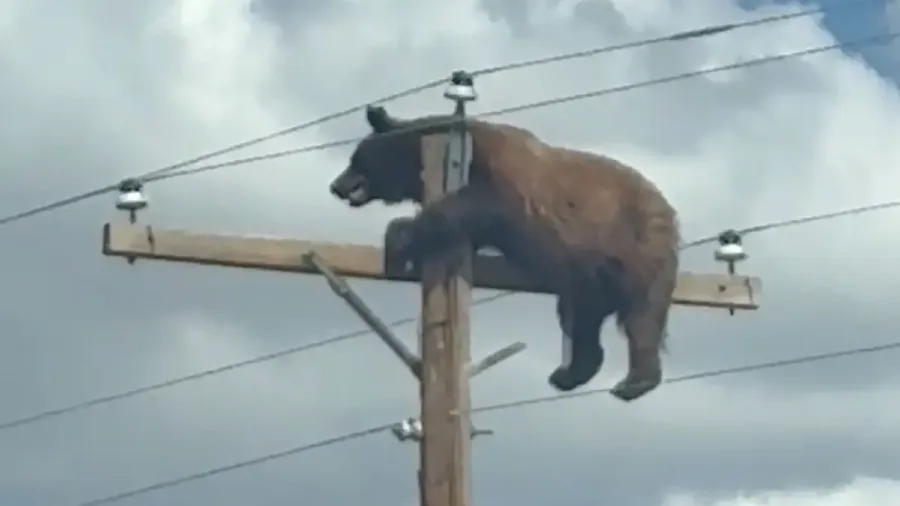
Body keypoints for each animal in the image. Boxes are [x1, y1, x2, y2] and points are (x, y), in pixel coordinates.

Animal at [329, 105, 680, 402]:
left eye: (355, 158)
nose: (336, 185)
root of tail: (668, 209)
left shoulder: (502, 176)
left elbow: (477, 204)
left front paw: (398, 235)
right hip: (586, 275)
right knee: (581, 320)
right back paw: (568, 374)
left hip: (637, 246)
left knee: (642, 314)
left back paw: (633, 382)